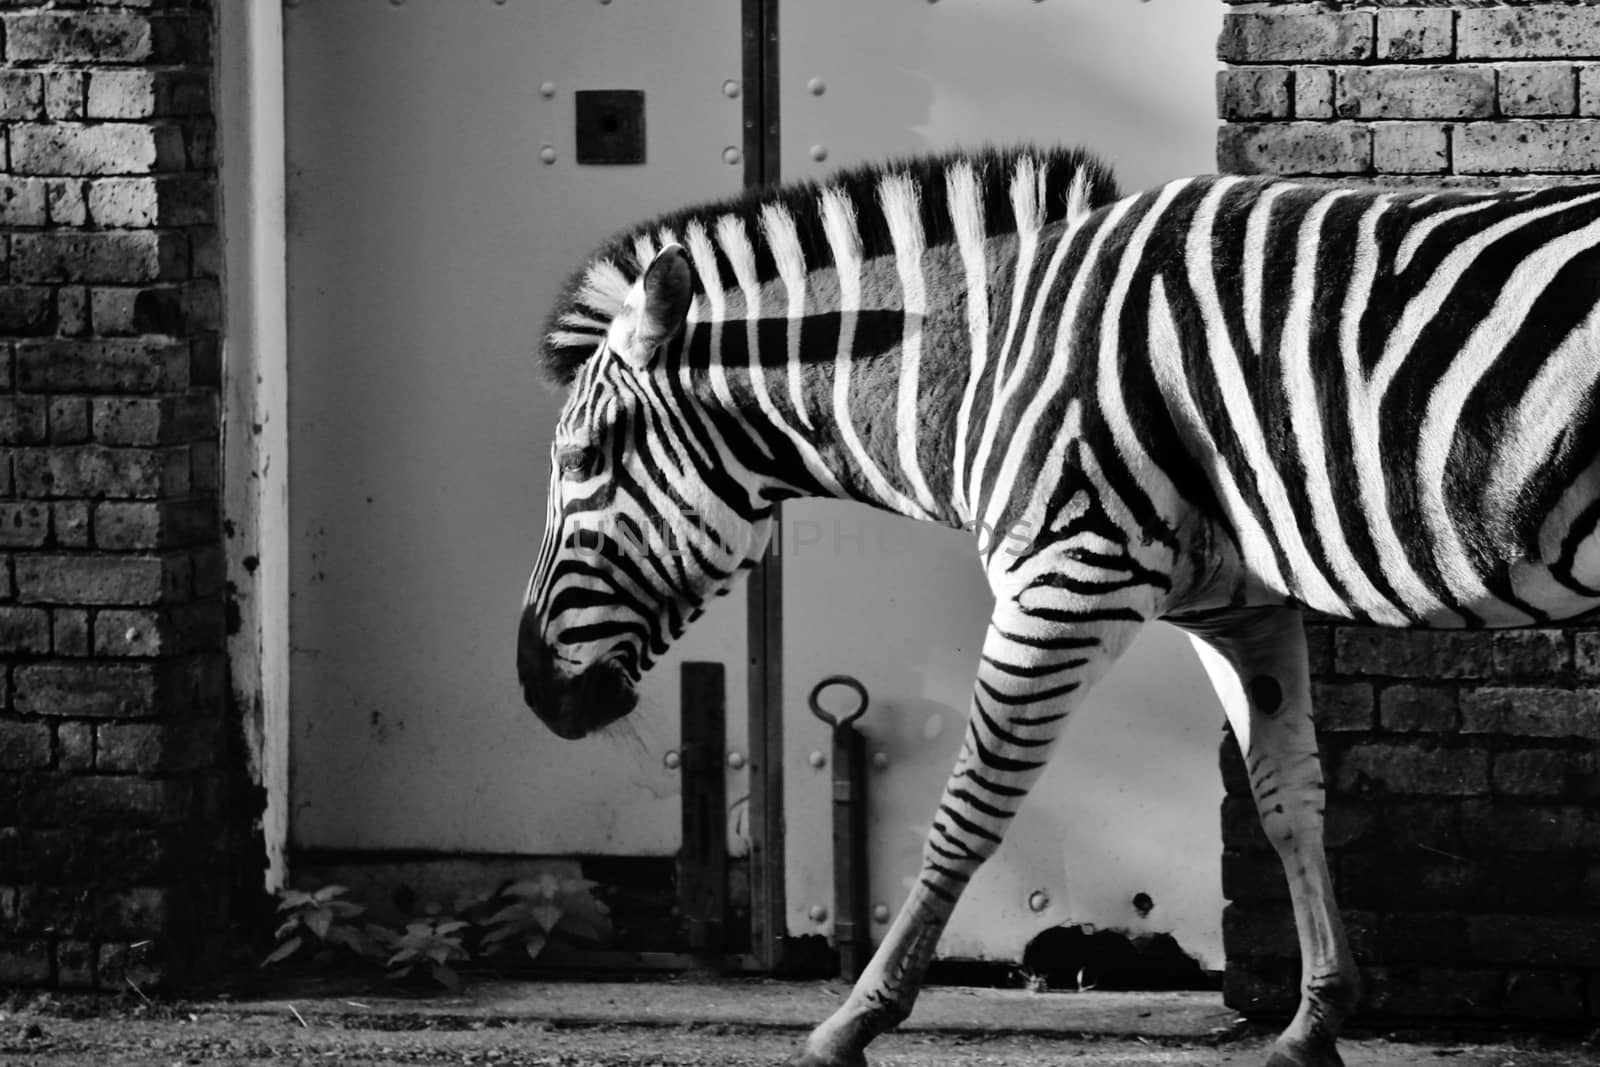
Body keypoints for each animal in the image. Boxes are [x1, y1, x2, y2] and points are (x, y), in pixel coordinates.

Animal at [518, 143, 1600, 1067]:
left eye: (584, 459)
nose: (536, 689)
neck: (988, 358)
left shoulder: (1069, 569)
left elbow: (965, 807)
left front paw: (852, 1019)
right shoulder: (1236, 605)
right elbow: (1287, 798)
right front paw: (1312, 1022)